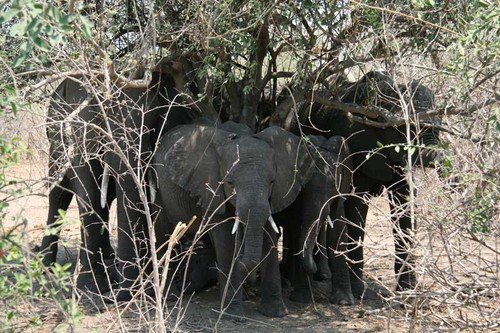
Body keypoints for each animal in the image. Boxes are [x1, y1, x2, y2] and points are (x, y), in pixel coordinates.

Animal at [36, 72, 193, 294]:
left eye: (154, 121)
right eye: (103, 119)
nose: (126, 293)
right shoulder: (80, 131)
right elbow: (90, 195)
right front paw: (92, 287)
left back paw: (109, 258)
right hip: (57, 141)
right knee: (58, 195)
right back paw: (46, 266)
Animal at [153, 121, 316, 316]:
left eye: (272, 182)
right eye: (230, 183)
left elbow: (267, 236)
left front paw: (276, 313)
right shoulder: (213, 190)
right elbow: (226, 241)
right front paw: (233, 314)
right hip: (157, 187)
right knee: (163, 233)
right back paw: (169, 298)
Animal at [278, 134, 356, 304]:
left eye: (333, 185)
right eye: (303, 187)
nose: (314, 271)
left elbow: (338, 230)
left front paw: (344, 302)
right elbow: (299, 229)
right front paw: (301, 299)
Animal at [286, 69, 442, 296]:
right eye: (403, 129)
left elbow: (403, 200)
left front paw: (407, 293)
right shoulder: (357, 142)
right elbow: (357, 205)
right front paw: (359, 291)